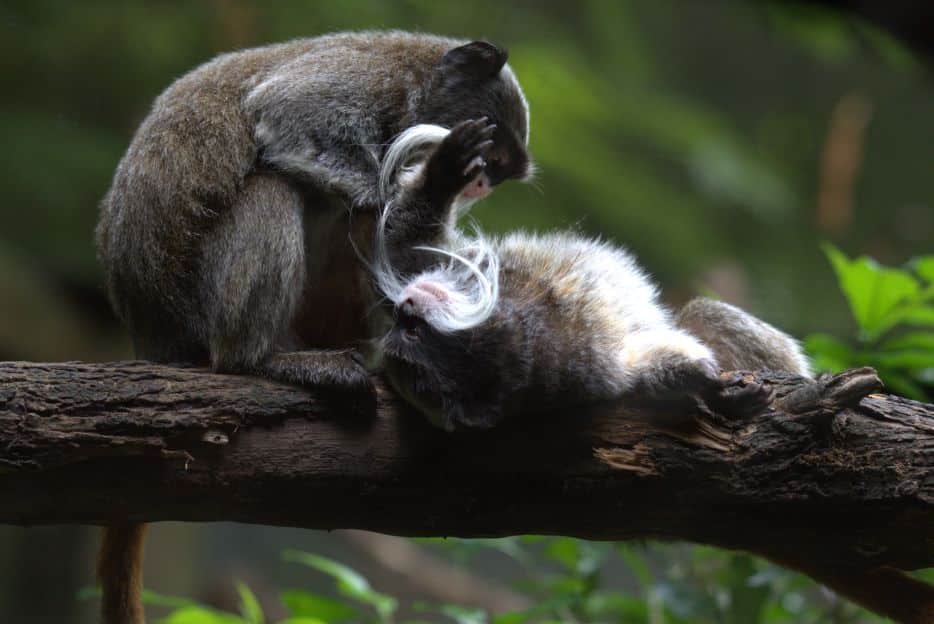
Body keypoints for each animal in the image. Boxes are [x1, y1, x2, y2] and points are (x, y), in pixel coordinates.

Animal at [94, 32, 532, 624]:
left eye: (499, 173)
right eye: (491, 159)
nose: (480, 184)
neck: (413, 88)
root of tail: (151, 335)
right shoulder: (369, 80)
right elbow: (282, 116)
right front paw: (426, 185)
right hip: (197, 312)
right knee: (276, 184)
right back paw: (257, 360)